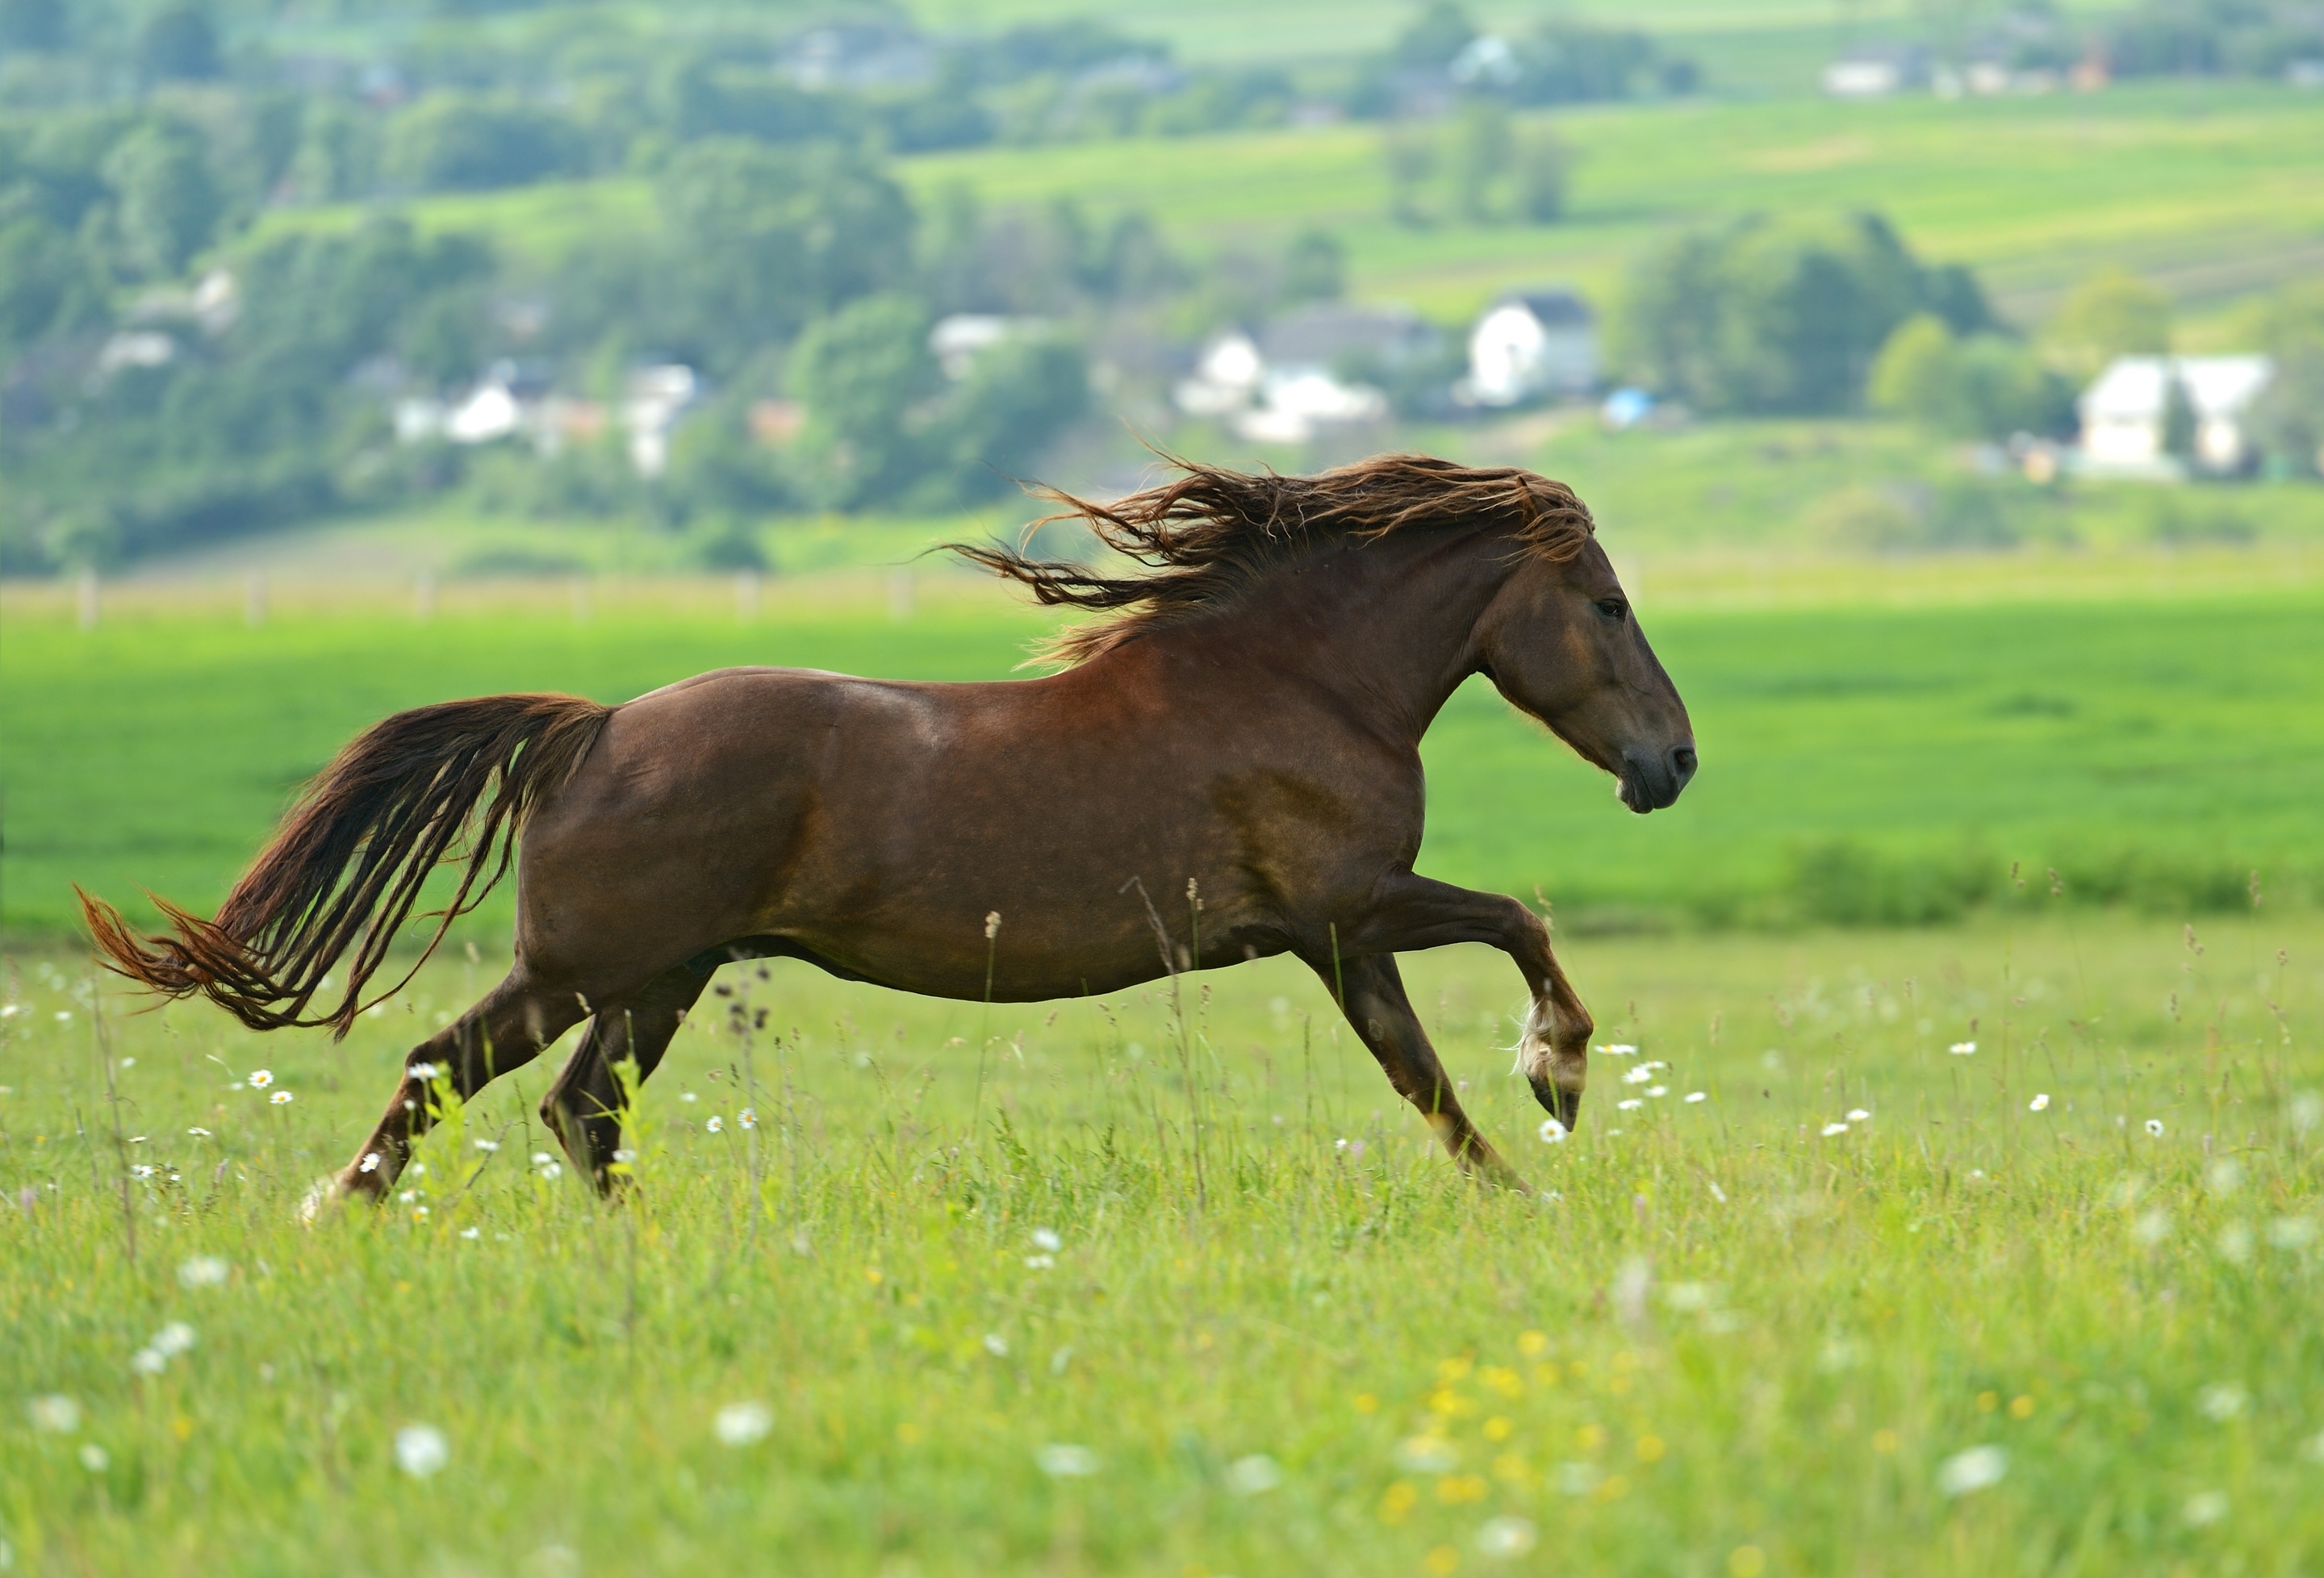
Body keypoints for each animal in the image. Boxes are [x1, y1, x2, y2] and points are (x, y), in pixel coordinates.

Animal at [82, 453, 1701, 1199]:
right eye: (1610, 603)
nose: (1672, 765)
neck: (1296, 677)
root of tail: (593, 731)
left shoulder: (1336, 938)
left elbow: (1422, 1078)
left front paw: (1519, 1178)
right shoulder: (1349, 906)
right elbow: (1511, 941)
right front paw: (1557, 1090)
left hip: (648, 980)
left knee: (536, 1098)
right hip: (607, 971)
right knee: (490, 1083)